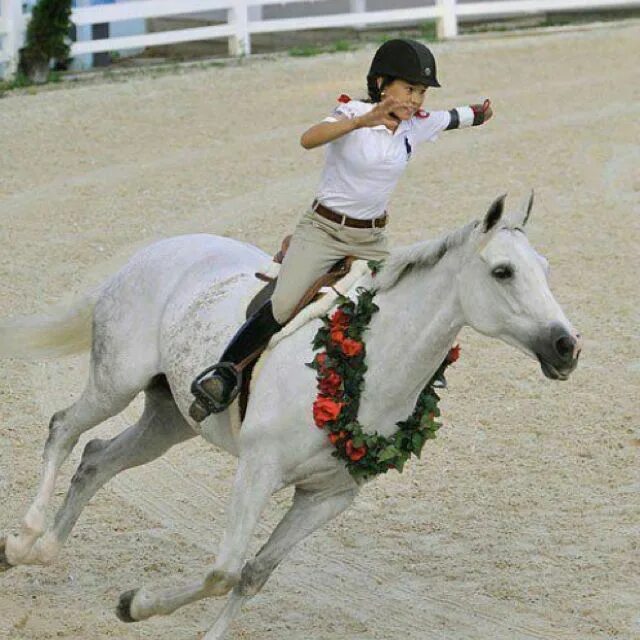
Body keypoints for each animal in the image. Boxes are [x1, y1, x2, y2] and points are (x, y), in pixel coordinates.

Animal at [0, 192, 580, 636]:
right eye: (503, 271)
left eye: (546, 269)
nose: (566, 346)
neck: (367, 368)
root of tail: (152, 253)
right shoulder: (258, 471)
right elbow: (224, 569)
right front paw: (135, 604)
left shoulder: (326, 497)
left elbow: (253, 573)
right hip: (114, 384)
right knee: (63, 429)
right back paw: (23, 538)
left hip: (170, 422)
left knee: (98, 458)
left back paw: (39, 551)